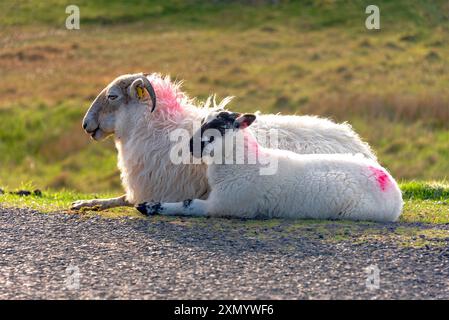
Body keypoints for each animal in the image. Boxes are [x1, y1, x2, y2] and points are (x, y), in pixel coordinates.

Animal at [72, 73, 376, 211]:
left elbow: (123, 200)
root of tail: (359, 144)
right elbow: (115, 198)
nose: (86, 125)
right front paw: (85, 202)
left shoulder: (163, 188)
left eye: (112, 96)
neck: (154, 127)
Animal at [136, 110, 402, 222]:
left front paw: (149, 207)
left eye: (220, 126)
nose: (191, 147)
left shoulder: (224, 205)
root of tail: (390, 183)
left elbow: (188, 204)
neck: (244, 163)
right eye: (202, 121)